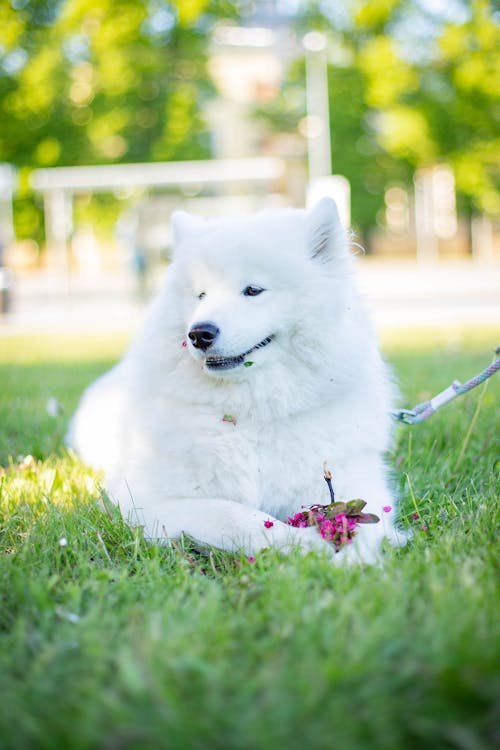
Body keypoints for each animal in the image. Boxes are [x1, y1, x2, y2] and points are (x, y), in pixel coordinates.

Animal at [68, 200, 400, 564]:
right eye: (200, 295)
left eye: (253, 290)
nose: (199, 333)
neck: (252, 411)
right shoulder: (145, 502)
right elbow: (238, 517)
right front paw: (308, 547)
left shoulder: (350, 481)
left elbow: (361, 522)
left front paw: (356, 556)